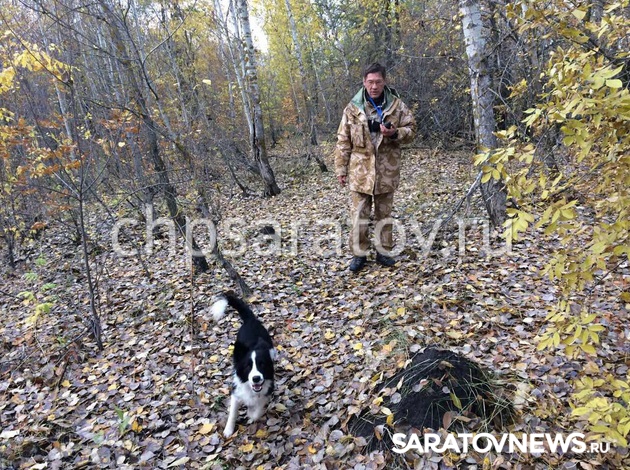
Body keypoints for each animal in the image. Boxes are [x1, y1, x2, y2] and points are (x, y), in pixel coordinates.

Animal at [211, 292, 276, 437]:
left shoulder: (266, 392)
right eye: (248, 367)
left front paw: (251, 415)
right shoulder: (236, 393)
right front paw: (228, 430)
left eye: (262, 365)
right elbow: (232, 413)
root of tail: (250, 320)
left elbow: (257, 411)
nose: (256, 378)